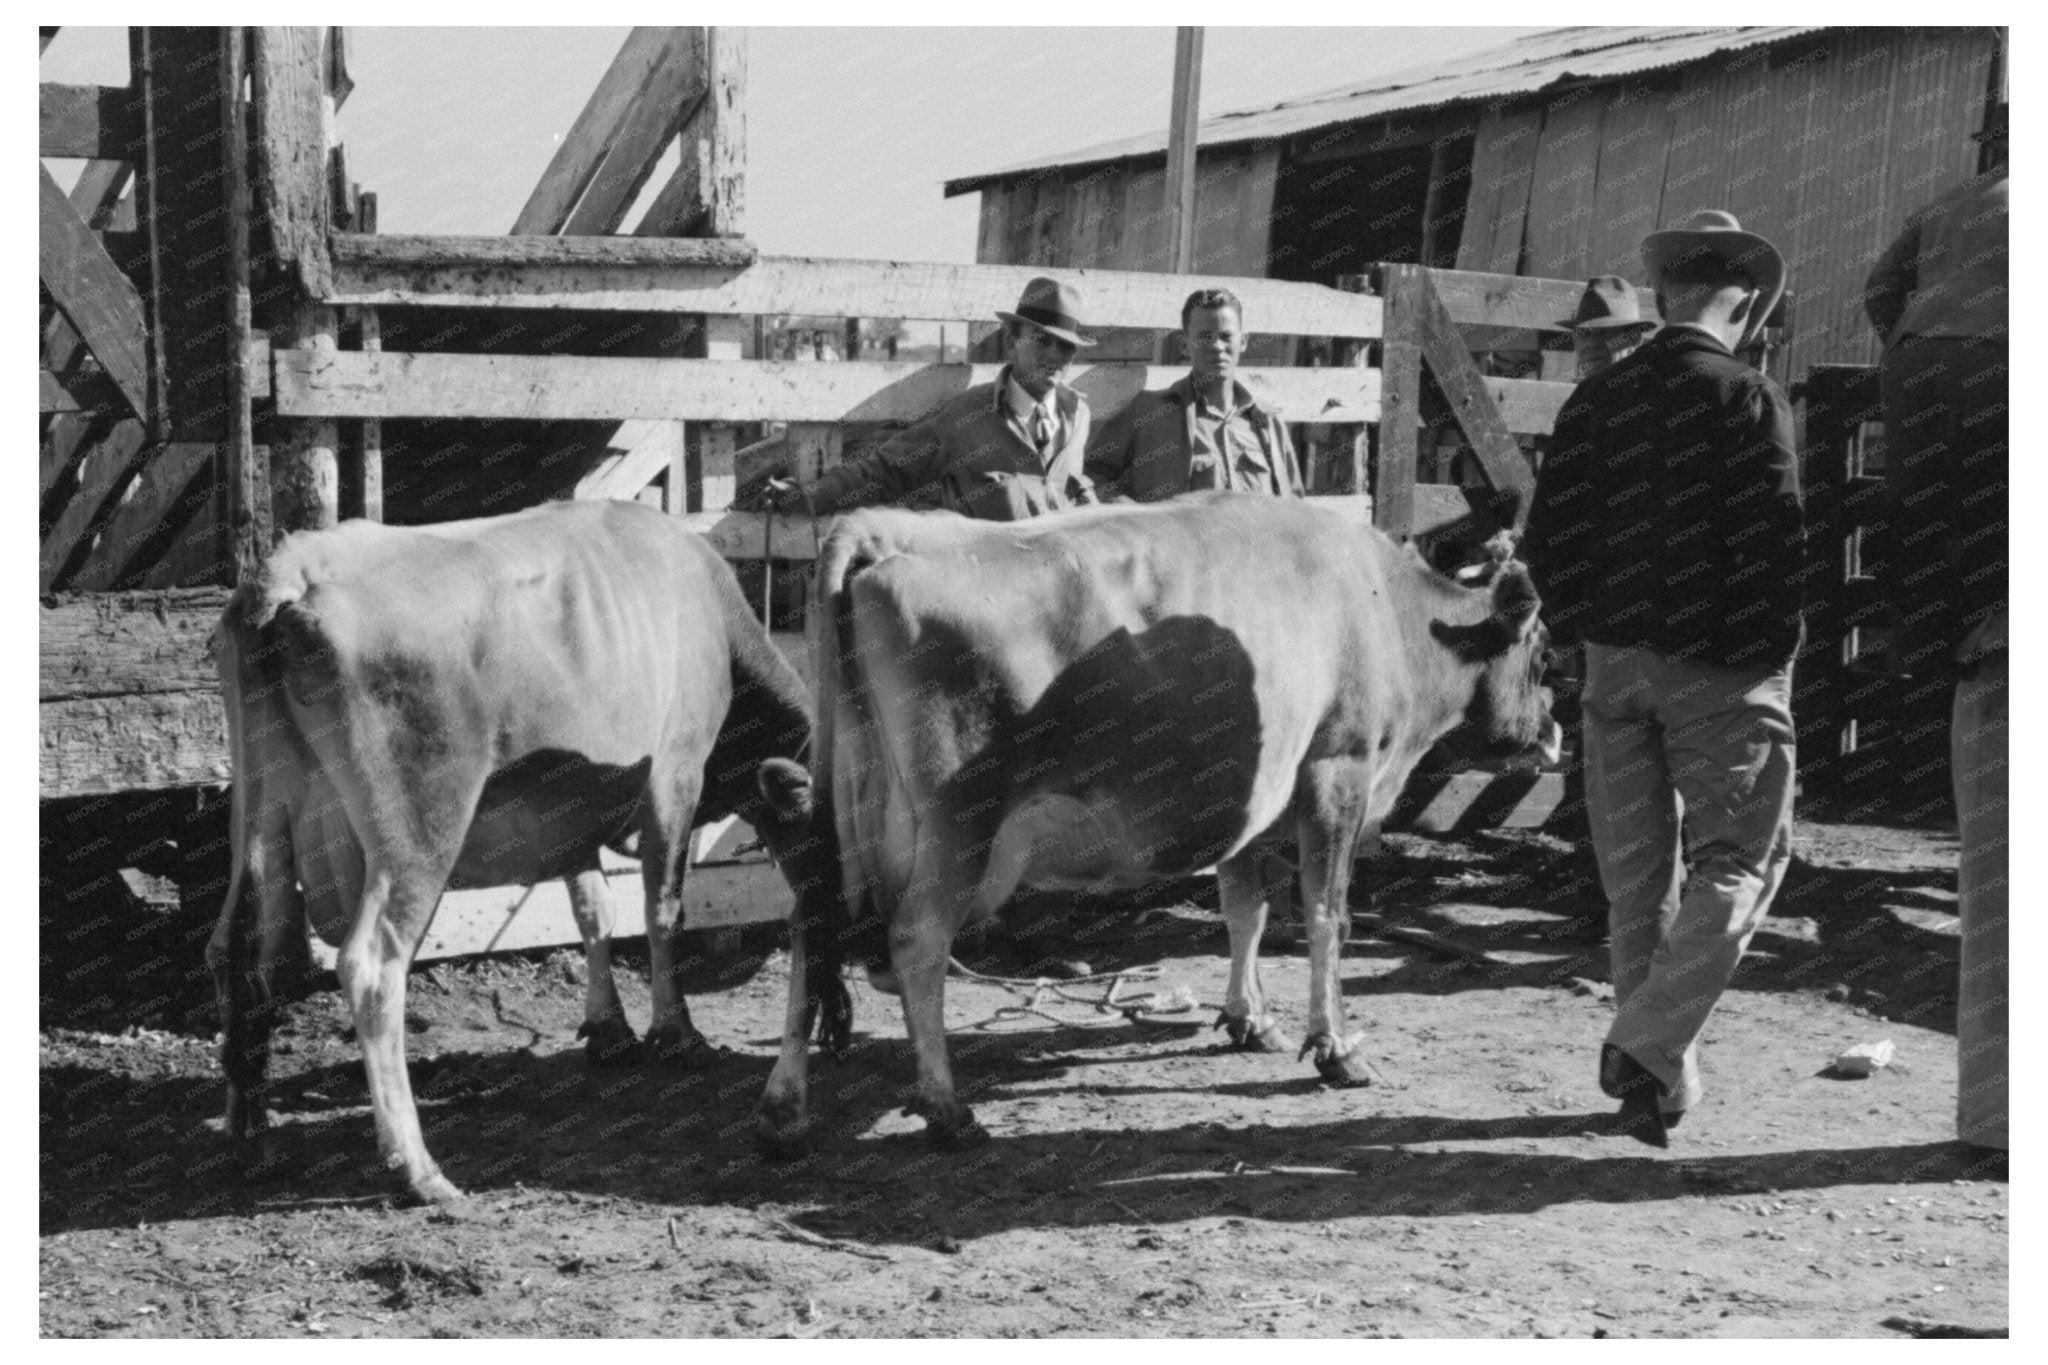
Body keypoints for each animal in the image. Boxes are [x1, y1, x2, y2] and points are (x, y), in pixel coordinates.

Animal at [207, 499, 846, 1205]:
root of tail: (290, 572)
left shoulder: (569, 815)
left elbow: (594, 911)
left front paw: (610, 1029)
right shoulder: (676, 774)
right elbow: (661, 909)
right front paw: (675, 1032)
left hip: (263, 809)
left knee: (237, 947)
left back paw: (249, 1140)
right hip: (418, 827)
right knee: (372, 966)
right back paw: (416, 1166)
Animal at [756, 492, 1560, 1153]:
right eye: (1544, 649)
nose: (1553, 730)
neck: (1387, 607)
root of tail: (882, 529)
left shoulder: (1250, 800)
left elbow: (1245, 911)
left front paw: (1250, 1019)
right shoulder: (1339, 769)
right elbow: (1327, 915)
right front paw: (1335, 1047)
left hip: (850, 814)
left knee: (809, 924)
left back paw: (785, 1109)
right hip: (959, 824)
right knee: (917, 941)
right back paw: (947, 1110)